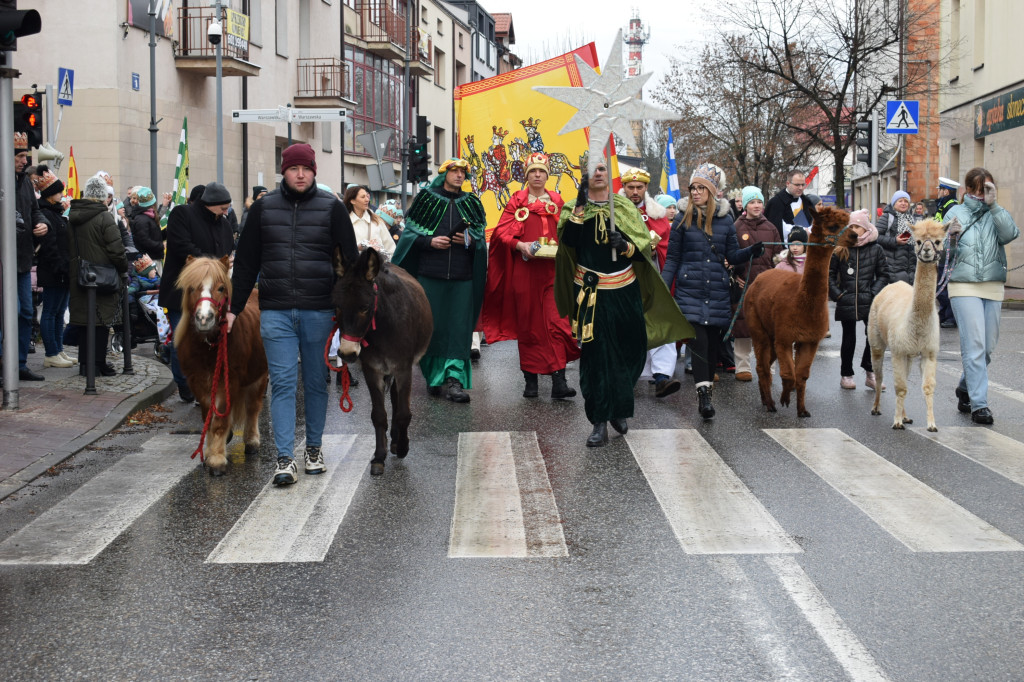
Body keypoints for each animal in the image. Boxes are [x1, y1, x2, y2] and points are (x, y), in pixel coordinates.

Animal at [178, 253, 270, 473]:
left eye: (220, 288)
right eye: (191, 288)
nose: (204, 318)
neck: (208, 348)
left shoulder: (228, 381)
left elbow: (220, 420)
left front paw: (217, 460)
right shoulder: (198, 382)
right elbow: (208, 416)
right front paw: (210, 450)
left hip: (260, 376)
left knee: (253, 407)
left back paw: (251, 441)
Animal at [331, 246, 432, 475]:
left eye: (365, 307)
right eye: (337, 306)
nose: (347, 354)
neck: (383, 326)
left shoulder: (404, 368)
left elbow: (404, 413)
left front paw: (403, 447)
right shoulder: (372, 370)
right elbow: (378, 415)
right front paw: (379, 457)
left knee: (396, 400)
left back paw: (397, 442)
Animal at [741, 204, 860, 413]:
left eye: (849, 223)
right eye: (832, 226)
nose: (854, 236)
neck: (801, 303)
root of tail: (759, 278)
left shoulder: (810, 340)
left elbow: (802, 375)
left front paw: (802, 410)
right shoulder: (785, 337)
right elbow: (789, 374)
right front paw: (784, 399)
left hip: (771, 333)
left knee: (765, 365)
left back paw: (765, 399)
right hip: (757, 326)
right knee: (762, 366)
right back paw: (770, 403)